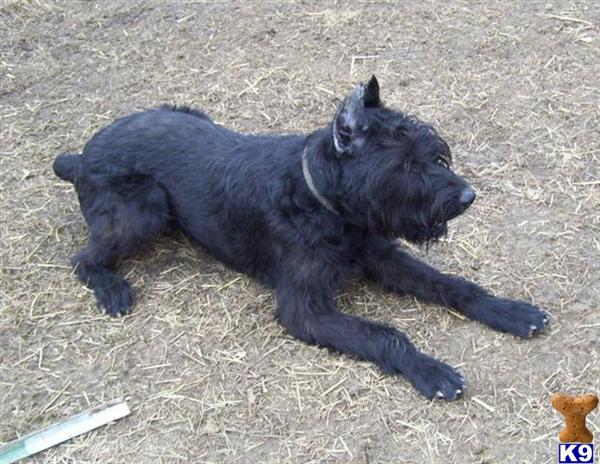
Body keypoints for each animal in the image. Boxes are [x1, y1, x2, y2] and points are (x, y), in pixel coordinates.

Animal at [55, 76, 548, 398]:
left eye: (434, 154)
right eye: (406, 165)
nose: (467, 196)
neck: (328, 206)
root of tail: (80, 156)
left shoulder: (383, 256)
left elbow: (452, 285)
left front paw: (509, 311)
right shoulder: (304, 309)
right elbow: (385, 334)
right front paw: (429, 369)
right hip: (146, 207)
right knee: (82, 258)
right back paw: (112, 288)